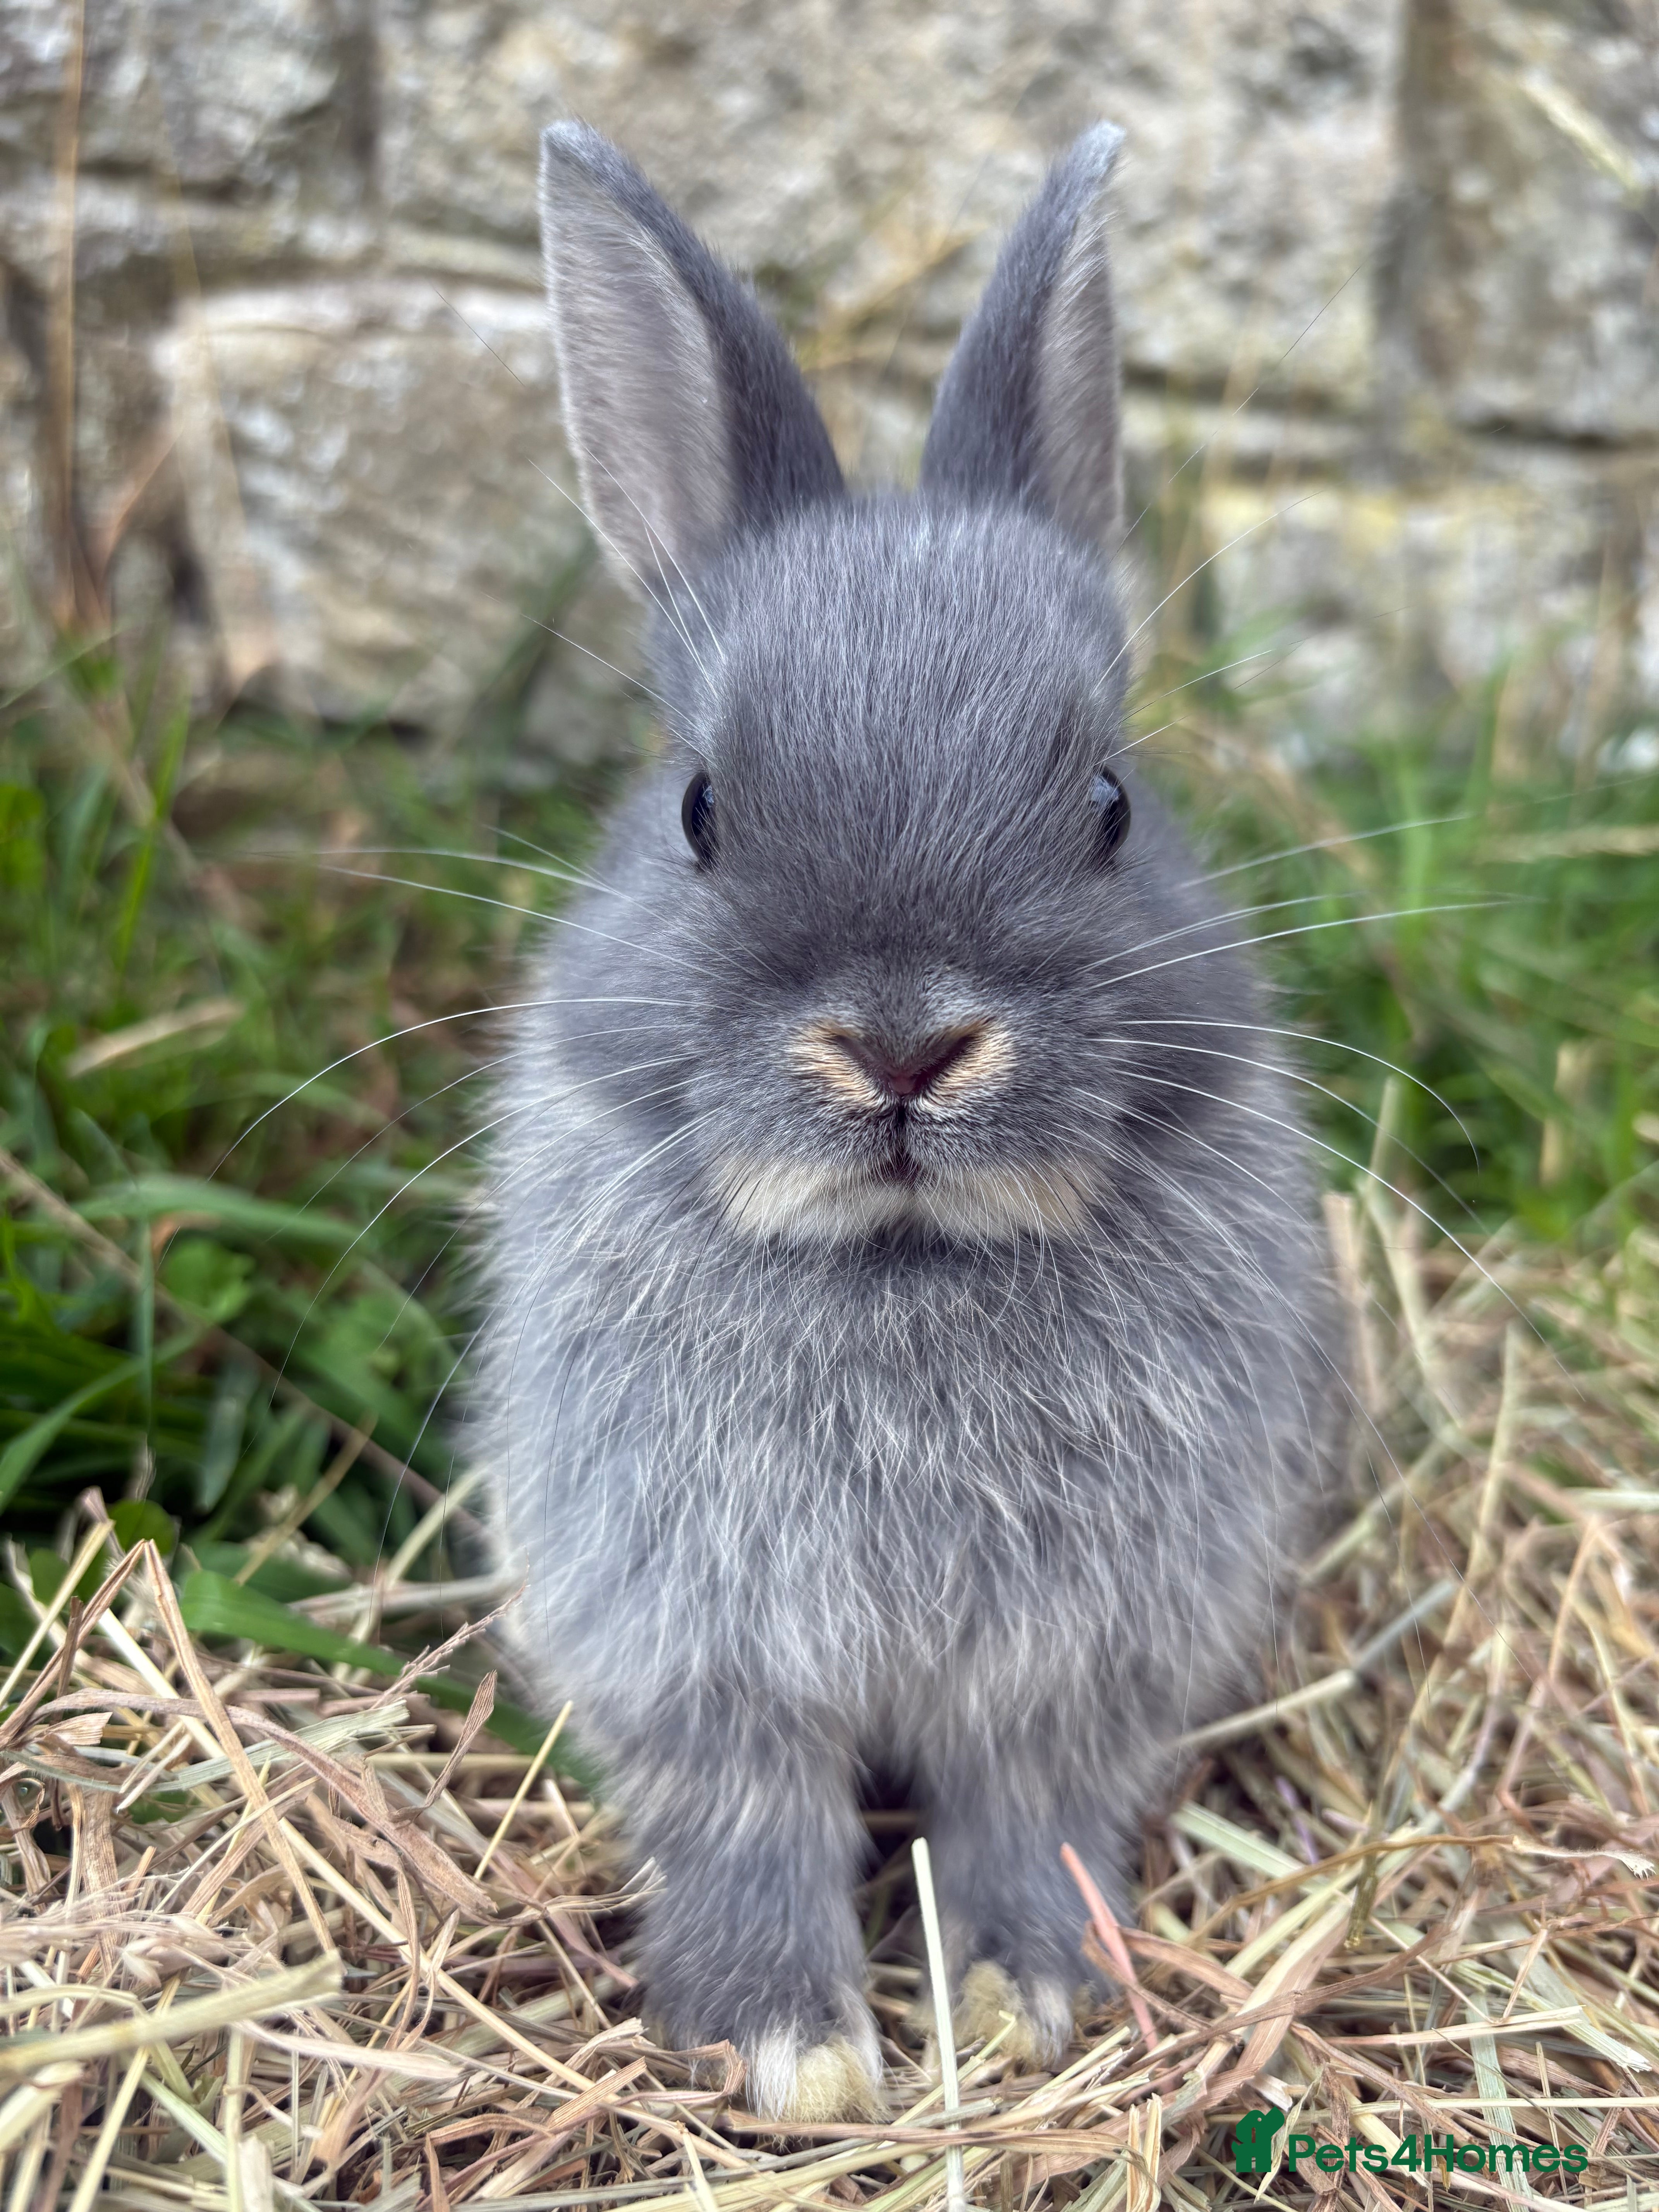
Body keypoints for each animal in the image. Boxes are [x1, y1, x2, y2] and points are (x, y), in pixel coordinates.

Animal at [478, 118, 1340, 2124]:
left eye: (1109, 802)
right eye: (701, 809)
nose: (899, 1048)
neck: (903, 1264)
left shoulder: (1074, 1666)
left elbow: (1029, 1820)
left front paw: (1024, 2002)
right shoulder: (695, 1652)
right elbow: (748, 1819)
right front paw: (792, 2051)